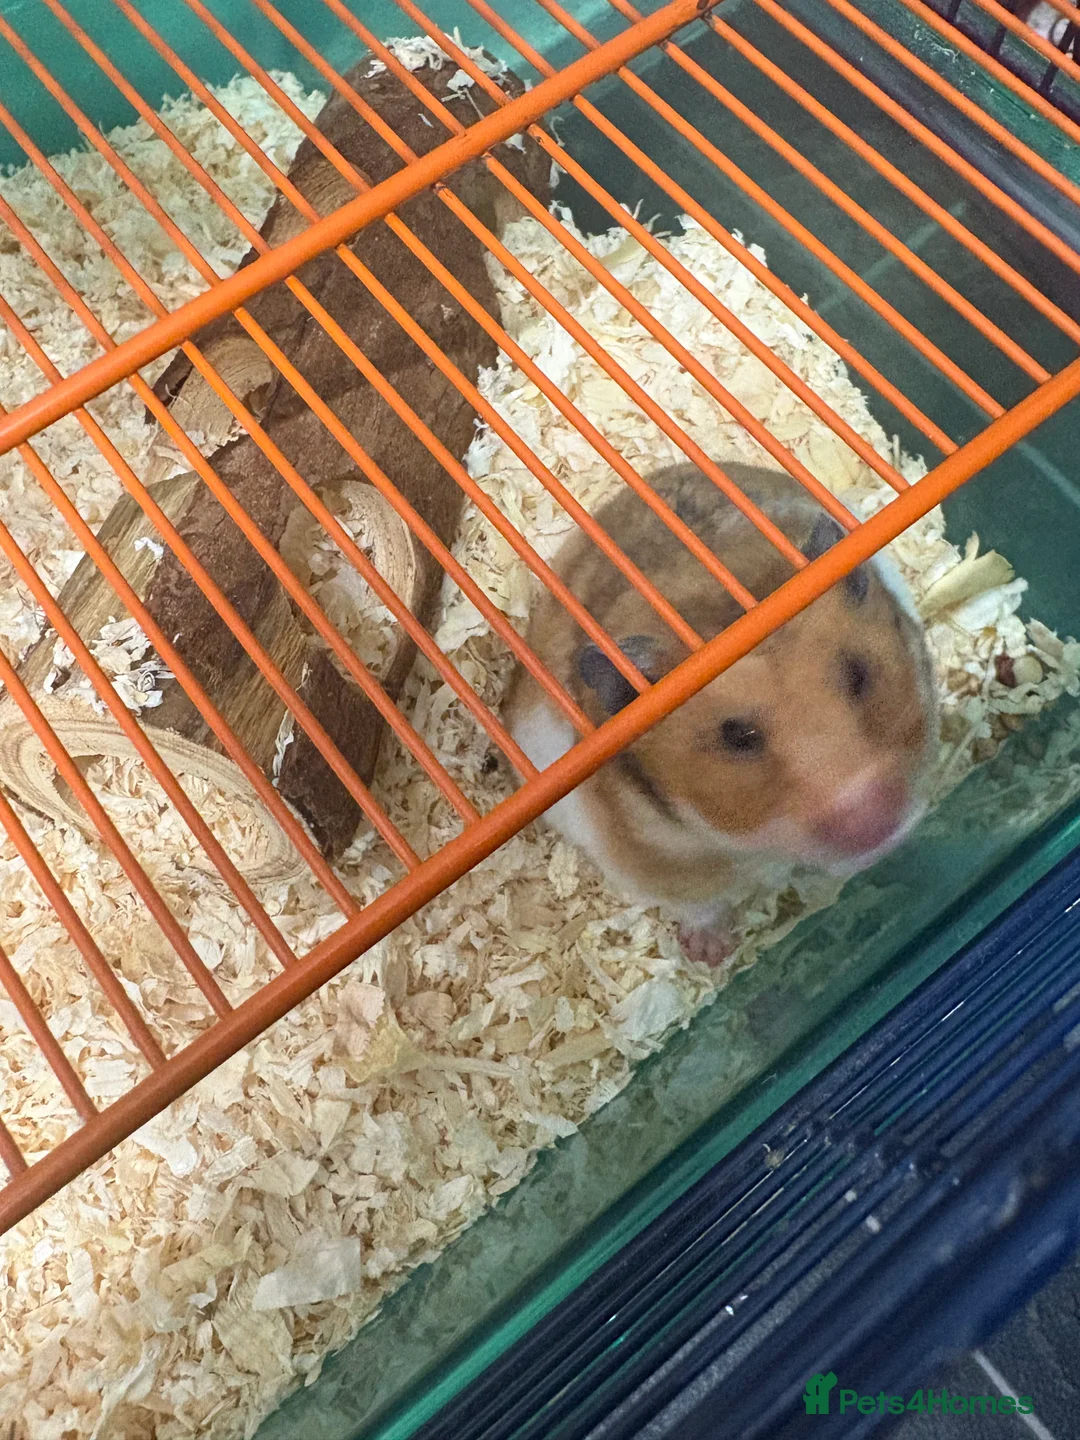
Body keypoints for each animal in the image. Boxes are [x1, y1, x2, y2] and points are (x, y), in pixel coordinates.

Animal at [505, 462, 938, 967]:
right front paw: (708, 955)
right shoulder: (654, 867)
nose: (874, 822)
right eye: (737, 735)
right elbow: (700, 906)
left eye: (859, 675)